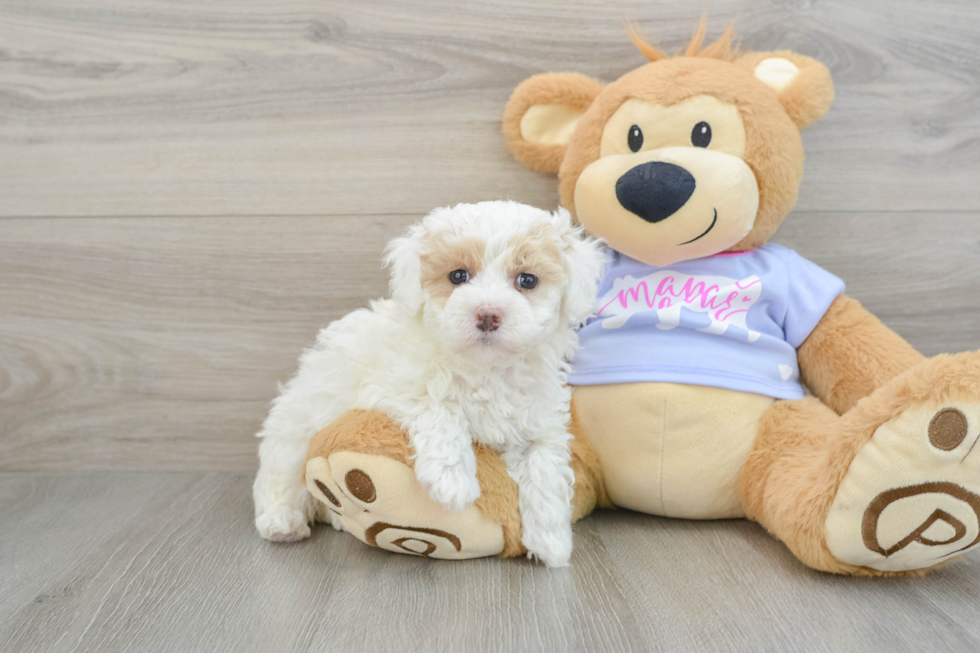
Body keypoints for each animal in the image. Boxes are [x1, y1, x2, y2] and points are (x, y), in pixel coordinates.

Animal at [253, 200, 604, 564]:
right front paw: (453, 480)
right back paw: (281, 520)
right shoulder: (391, 385)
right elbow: (437, 407)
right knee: (280, 476)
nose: (488, 314)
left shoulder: (540, 420)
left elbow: (544, 465)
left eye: (528, 280)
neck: (484, 369)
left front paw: (551, 541)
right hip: (296, 429)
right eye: (458, 275)